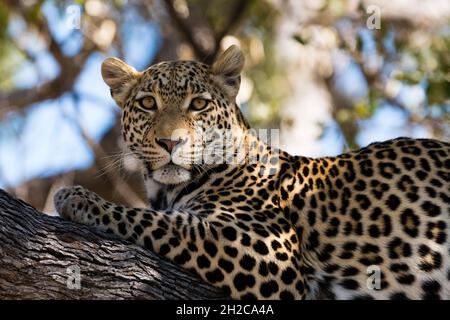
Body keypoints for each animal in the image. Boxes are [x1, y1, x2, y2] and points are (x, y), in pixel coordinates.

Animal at [53, 45, 450, 300]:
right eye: (148, 103)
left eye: (198, 104)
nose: (170, 142)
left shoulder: (265, 248)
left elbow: (160, 222)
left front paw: (77, 198)